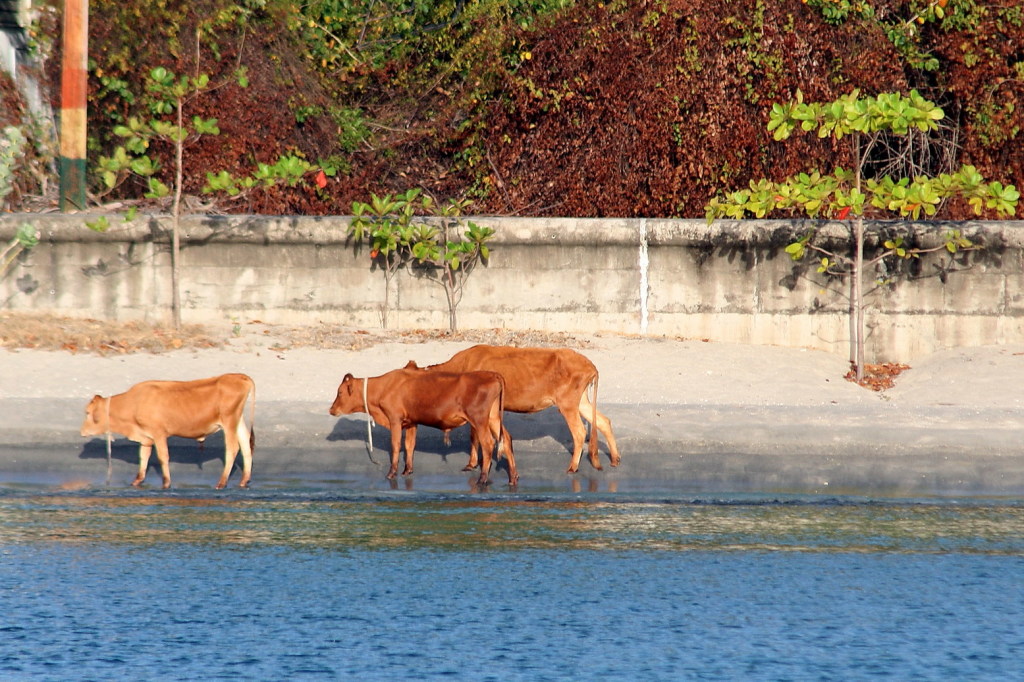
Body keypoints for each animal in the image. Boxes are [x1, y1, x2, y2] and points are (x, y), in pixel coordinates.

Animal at [79, 372, 256, 489]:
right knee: (246, 446)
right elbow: (143, 457)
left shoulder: (159, 433)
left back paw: (222, 482)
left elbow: (163, 457)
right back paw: (243, 481)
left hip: (229, 421)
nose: (82, 432)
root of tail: (238, 376)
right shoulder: (146, 436)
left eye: (87, 412)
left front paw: (166, 483)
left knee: (233, 448)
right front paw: (137, 481)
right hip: (237, 420)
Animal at [329, 366, 520, 483]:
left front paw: (392, 473)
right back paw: (513, 477)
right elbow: (409, 445)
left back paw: (483, 478)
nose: (331, 410)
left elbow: (396, 445)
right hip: (493, 417)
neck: (384, 387)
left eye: (340, 392)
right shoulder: (412, 422)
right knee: (507, 439)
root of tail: (491, 374)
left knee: (488, 444)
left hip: (479, 419)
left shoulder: (395, 419)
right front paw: (407, 470)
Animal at [415, 346, 622, 473]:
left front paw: (472, 463)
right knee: (604, 421)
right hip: (580, 401)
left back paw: (573, 467)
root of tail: (590, 364)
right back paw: (614, 458)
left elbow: (475, 436)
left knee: (579, 432)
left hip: (568, 403)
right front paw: (473, 463)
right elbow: (475, 436)